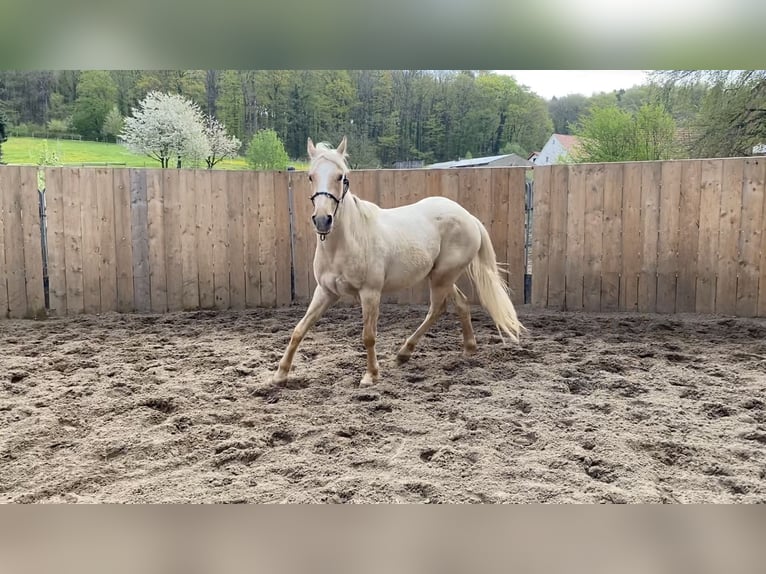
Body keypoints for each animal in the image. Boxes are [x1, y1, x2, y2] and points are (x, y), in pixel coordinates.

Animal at [272, 136, 525, 387]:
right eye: (311, 176)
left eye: (340, 177)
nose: (323, 220)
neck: (347, 242)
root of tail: (468, 216)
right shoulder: (325, 292)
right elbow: (299, 329)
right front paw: (280, 374)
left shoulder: (370, 293)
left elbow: (369, 336)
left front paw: (371, 375)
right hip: (441, 275)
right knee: (461, 304)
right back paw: (467, 349)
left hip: (442, 277)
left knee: (437, 309)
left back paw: (404, 352)